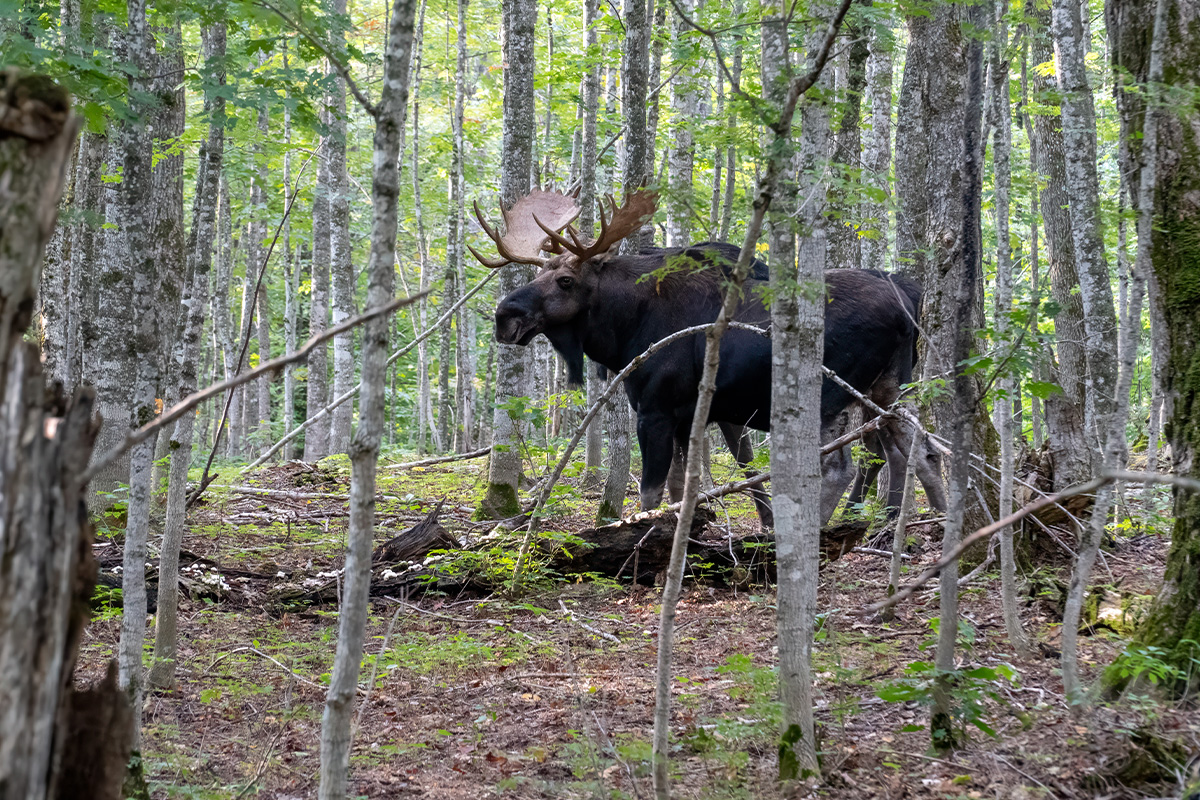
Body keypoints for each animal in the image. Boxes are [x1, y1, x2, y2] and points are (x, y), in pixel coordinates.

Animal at [468, 188, 945, 525]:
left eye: (565, 281)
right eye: (540, 274)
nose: (504, 317)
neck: (627, 328)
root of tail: (907, 303)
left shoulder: (656, 409)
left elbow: (651, 491)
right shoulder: (693, 415)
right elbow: (684, 487)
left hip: (829, 391)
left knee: (842, 464)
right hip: (887, 387)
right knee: (915, 449)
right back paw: (917, 523)